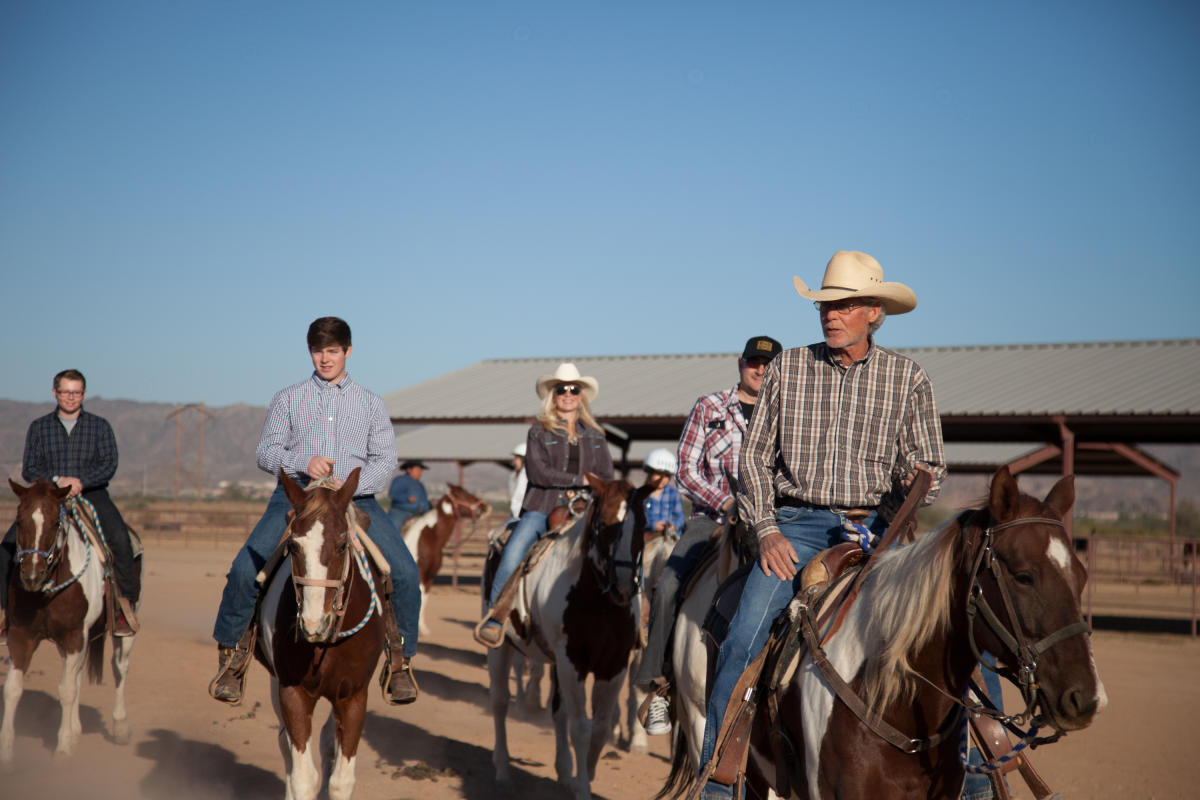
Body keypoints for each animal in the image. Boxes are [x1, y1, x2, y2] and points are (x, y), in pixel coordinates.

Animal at [1, 479, 140, 767]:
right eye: (19, 520)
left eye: (56, 522)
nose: (31, 575)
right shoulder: (22, 635)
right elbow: (13, 689)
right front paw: (6, 752)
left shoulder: (75, 635)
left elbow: (66, 690)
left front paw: (63, 747)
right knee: (76, 676)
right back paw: (76, 729)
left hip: (124, 629)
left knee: (119, 668)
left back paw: (120, 727)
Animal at [256, 470, 384, 800]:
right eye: (294, 546)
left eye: (341, 545)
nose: (314, 624)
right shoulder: (292, 692)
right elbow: (303, 776)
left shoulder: (354, 697)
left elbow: (341, 780)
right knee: (286, 747)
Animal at [398, 484, 482, 633]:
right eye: (465, 495)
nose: (483, 507)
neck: (429, 539)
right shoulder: (420, 574)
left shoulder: (430, 576)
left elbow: (424, 598)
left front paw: (423, 628)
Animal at [484, 474, 648, 800]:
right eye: (604, 524)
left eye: (643, 525)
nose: (624, 587)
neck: (598, 601)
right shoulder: (573, 662)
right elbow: (580, 728)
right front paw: (583, 787)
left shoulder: (614, 666)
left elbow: (599, 727)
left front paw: (586, 774)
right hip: (501, 646)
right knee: (500, 701)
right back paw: (503, 771)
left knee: (558, 711)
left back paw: (562, 771)